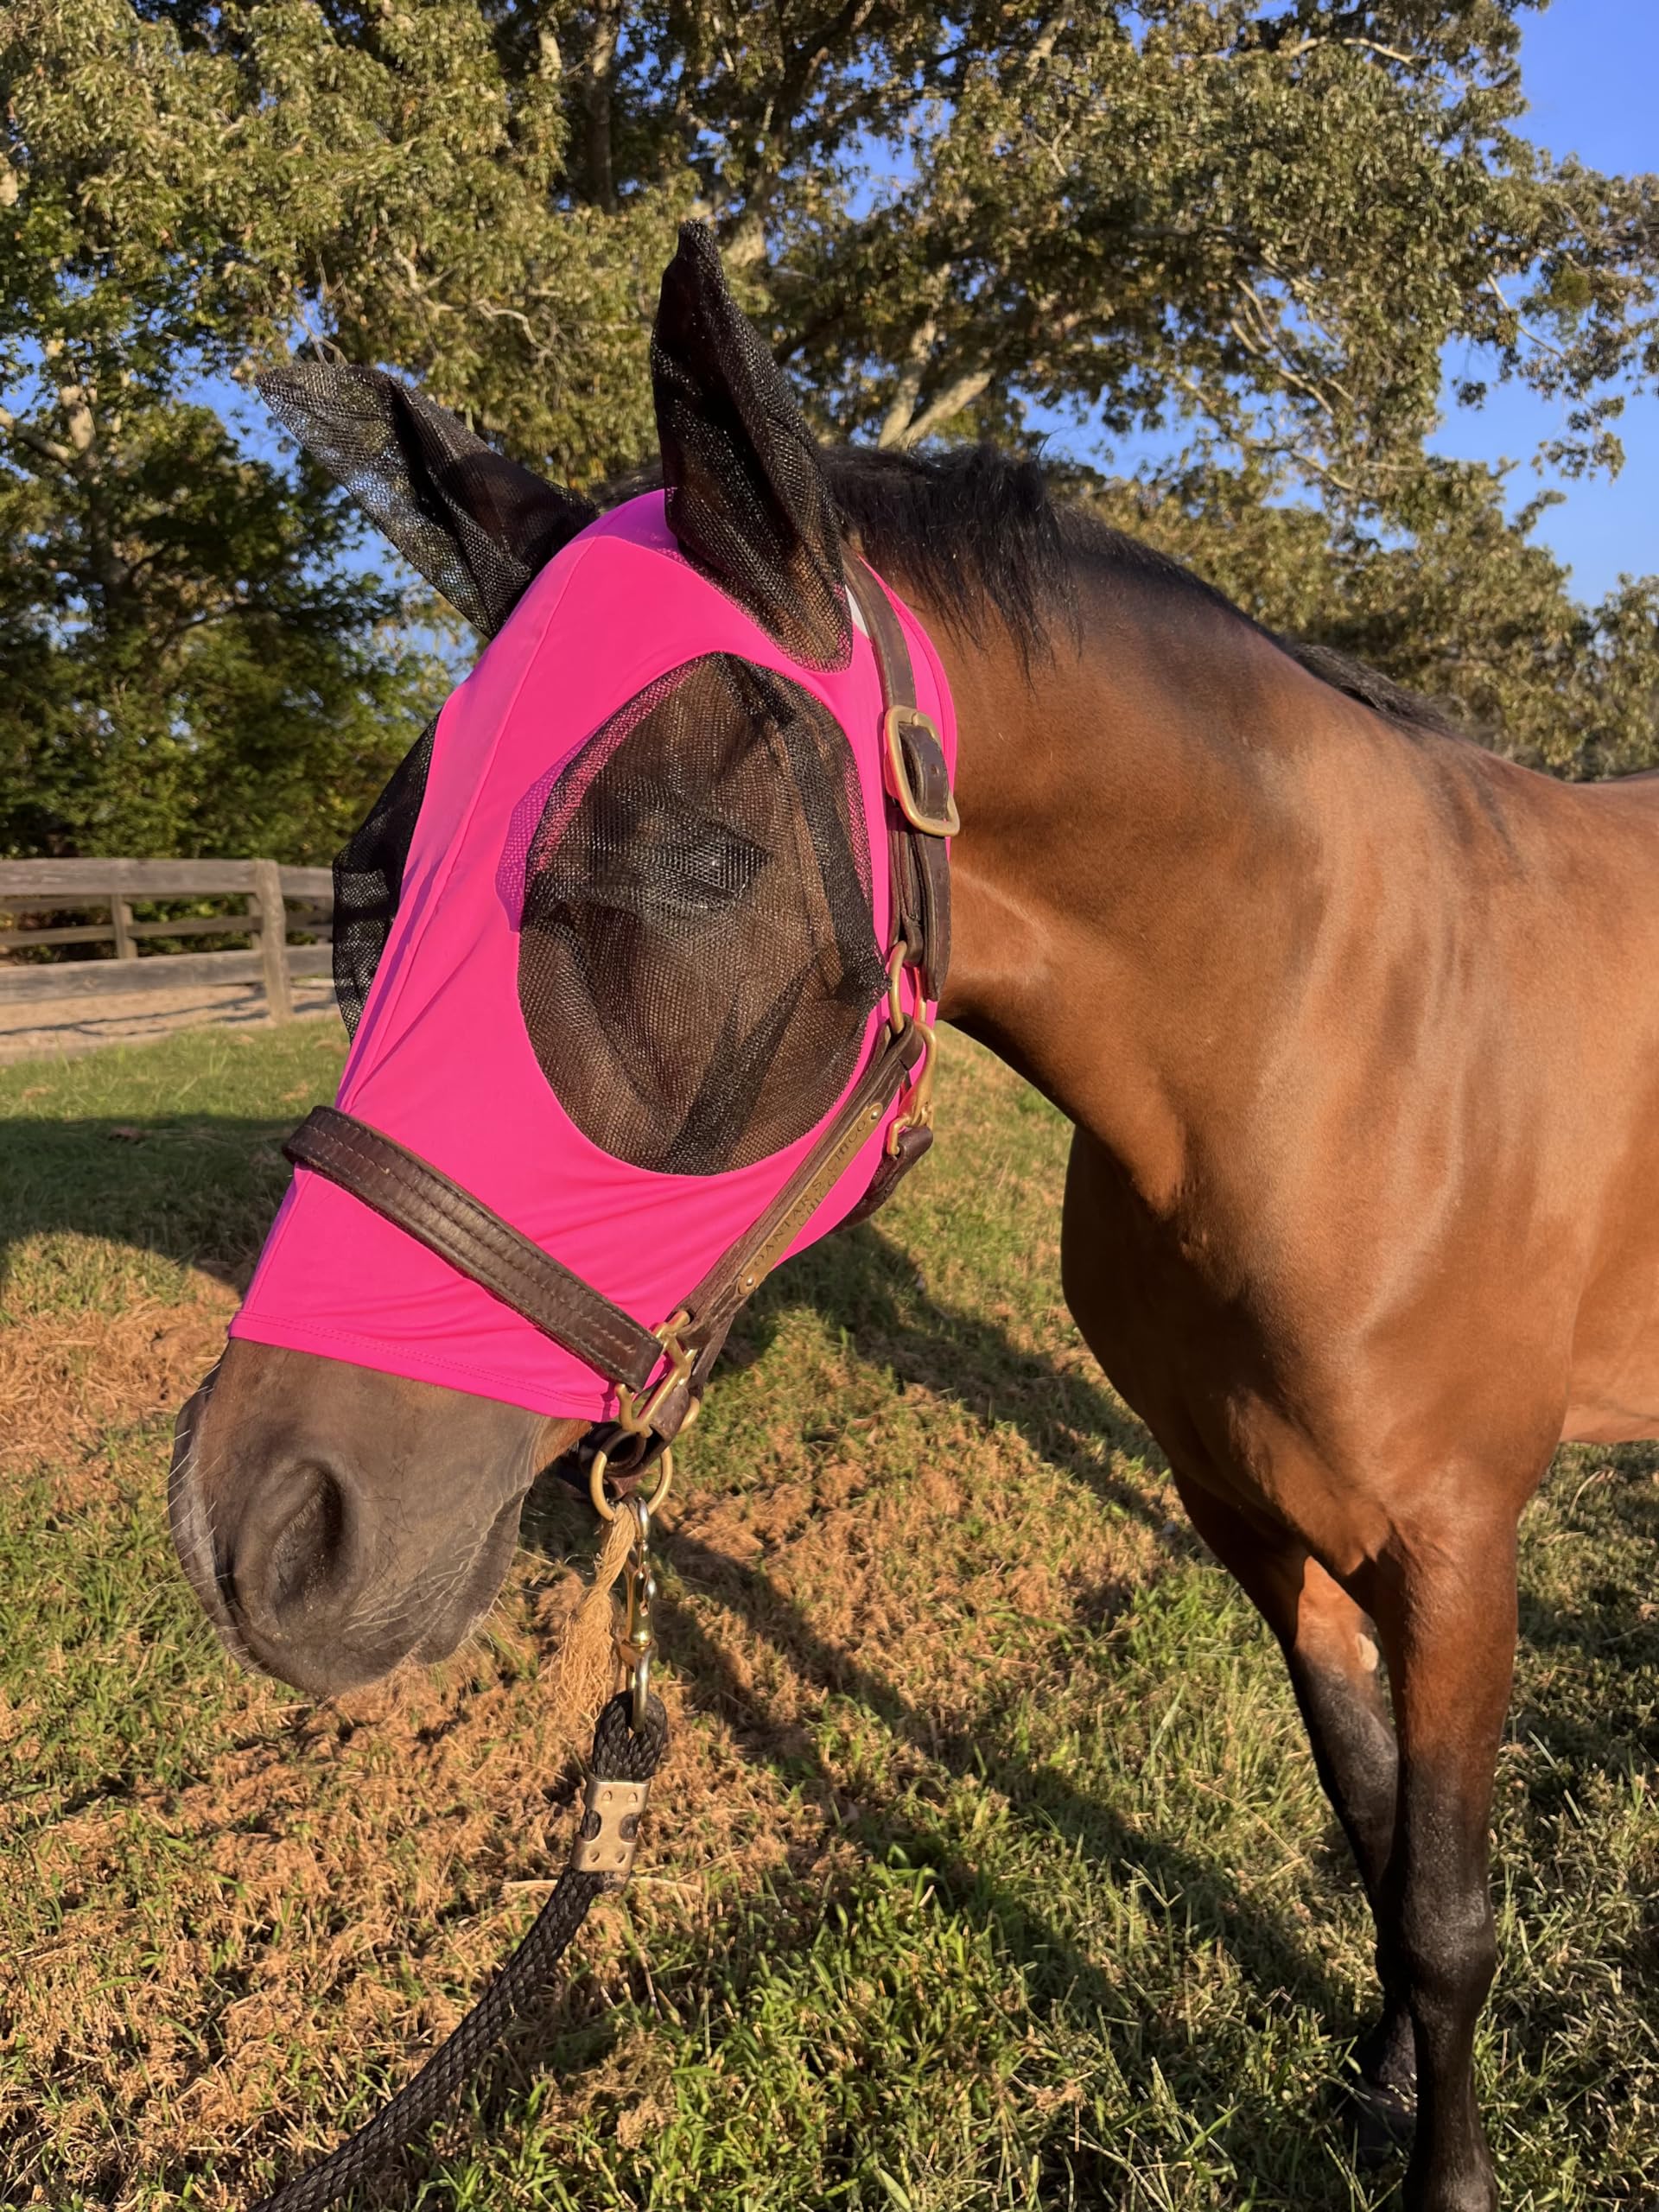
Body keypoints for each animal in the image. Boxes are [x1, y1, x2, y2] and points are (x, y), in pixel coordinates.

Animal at [170, 225, 1659, 2212]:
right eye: (374, 878)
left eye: (693, 862)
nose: (259, 1532)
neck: (1335, 1046)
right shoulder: (1254, 1511)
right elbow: (1371, 1831)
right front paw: (1371, 2081)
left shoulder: (1456, 1546)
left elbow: (1450, 1907)